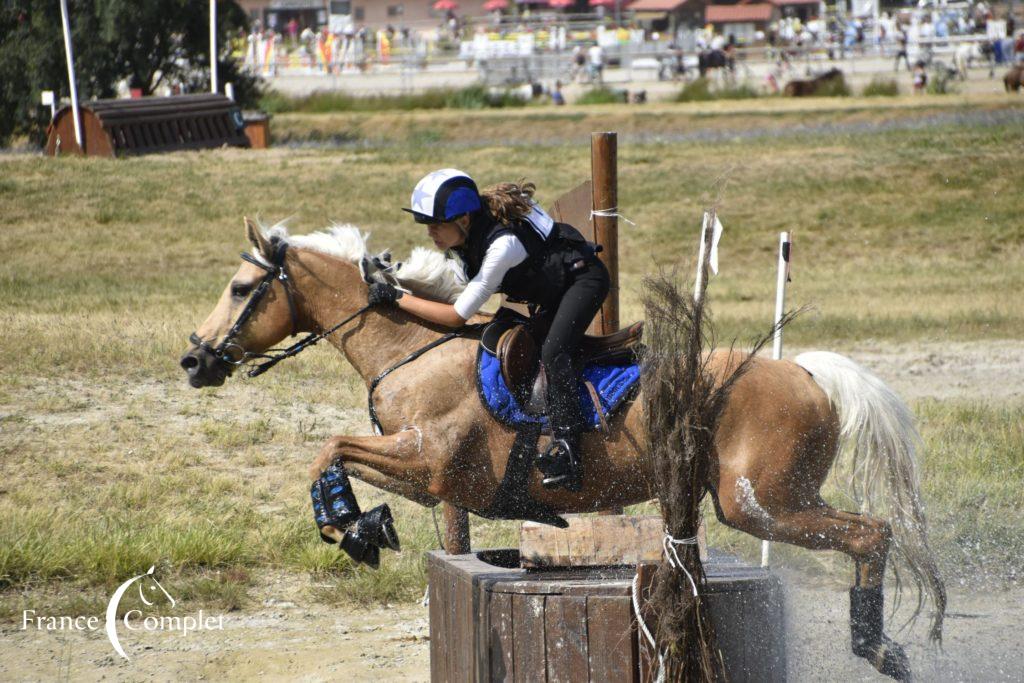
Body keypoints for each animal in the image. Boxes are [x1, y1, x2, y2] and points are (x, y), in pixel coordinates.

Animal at [182, 222, 942, 679]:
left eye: (241, 289)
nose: (193, 360)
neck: (412, 349)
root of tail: (808, 372)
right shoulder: (425, 472)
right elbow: (333, 451)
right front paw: (361, 524)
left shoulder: (429, 463)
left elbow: (327, 450)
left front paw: (350, 524)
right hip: (775, 497)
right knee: (870, 533)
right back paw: (881, 647)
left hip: (761, 504)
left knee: (872, 533)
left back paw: (878, 647)